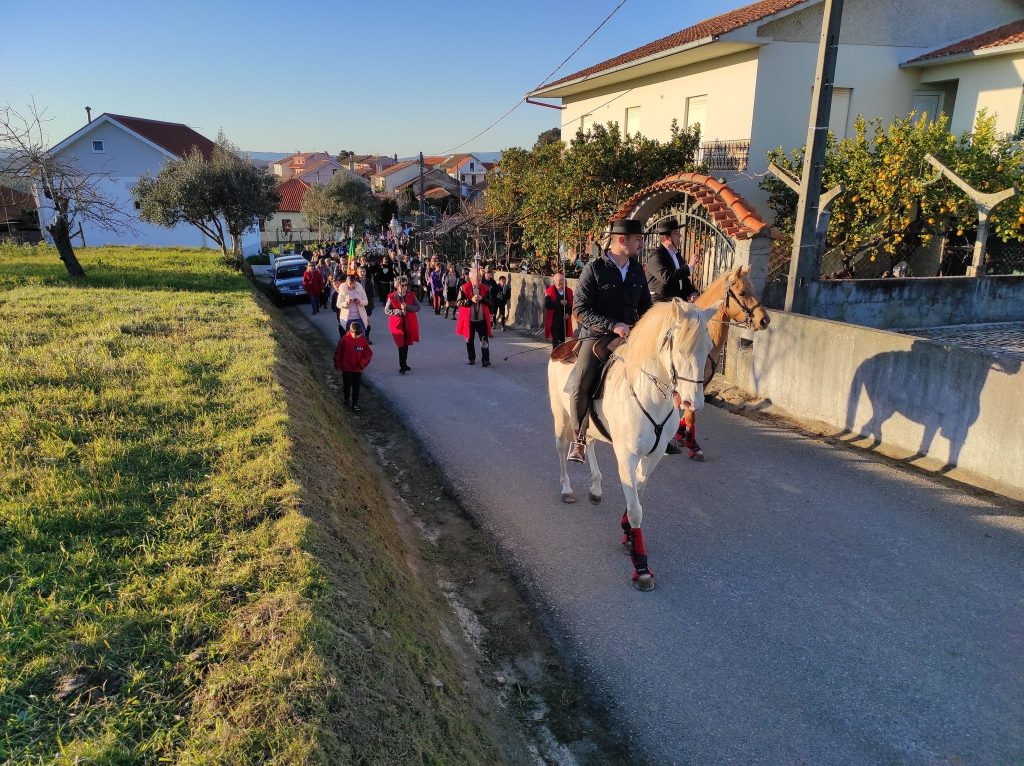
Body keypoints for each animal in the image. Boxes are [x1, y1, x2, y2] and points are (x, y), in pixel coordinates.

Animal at [548, 299, 716, 593]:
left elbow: (638, 491)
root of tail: (562, 347)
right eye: (681, 349)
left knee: (589, 443)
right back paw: (567, 489)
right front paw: (641, 567)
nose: (692, 403)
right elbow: (637, 509)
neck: (651, 396)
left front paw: (626, 532)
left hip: (589, 426)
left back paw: (595, 487)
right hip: (562, 418)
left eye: (707, 350)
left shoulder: (653, 456)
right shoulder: (627, 456)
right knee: (561, 448)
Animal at [675, 264, 770, 454]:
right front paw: (692, 445)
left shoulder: (701, 383)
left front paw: (684, 437)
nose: (764, 320)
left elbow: (690, 411)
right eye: (742, 292)